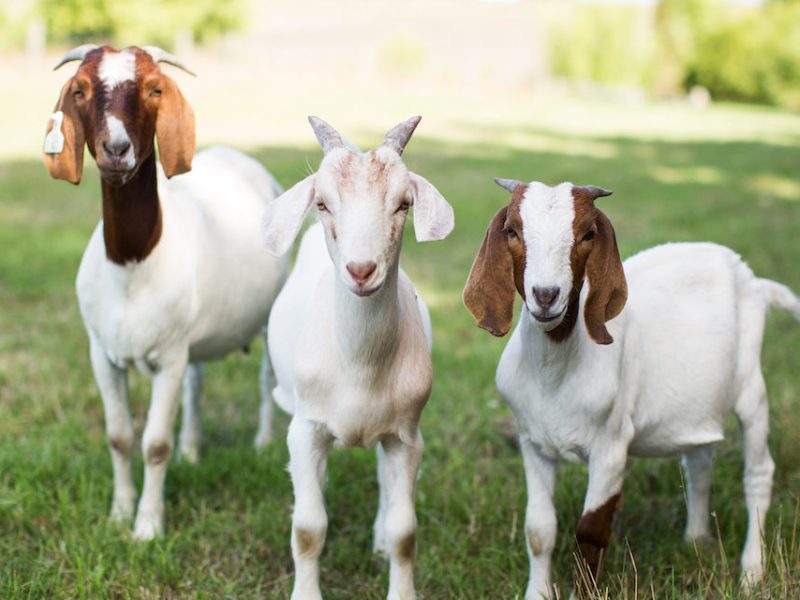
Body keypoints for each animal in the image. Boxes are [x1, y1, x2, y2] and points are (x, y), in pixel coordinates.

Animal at [43, 45, 288, 540]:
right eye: (80, 90)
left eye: (155, 88)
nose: (117, 149)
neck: (133, 265)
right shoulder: (102, 352)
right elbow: (119, 436)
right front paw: (119, 513)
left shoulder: (168, 359)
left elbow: (154, 444)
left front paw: (148, 527)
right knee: (197, 382)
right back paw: (192, 450)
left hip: (269, 312)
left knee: (266, 378)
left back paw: (262, 444)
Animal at [262, 116, 454, 600]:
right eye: (323, 203)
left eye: (404, 203)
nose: (361, 270)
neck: (359, 366)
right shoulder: (306, 428)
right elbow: (308, 528)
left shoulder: (406, 435)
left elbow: (406, 532)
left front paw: (398, 579)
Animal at [463, 179, 799, 598]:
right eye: (512, 230)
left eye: (588, 234)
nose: (545, 295)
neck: (555, 371)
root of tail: (754, 281)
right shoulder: (532, 442)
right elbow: (539, 530)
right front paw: (537, 592)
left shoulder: (611, 446)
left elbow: (591, 531)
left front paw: (586, 592)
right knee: (699, 462)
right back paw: (696, 539)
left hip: (751, 386)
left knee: (758, 473)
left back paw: (752, 571)